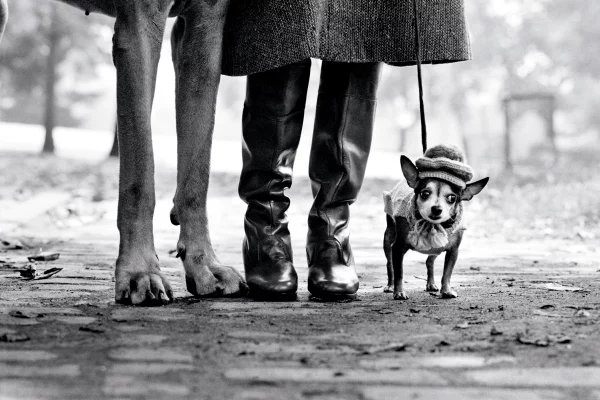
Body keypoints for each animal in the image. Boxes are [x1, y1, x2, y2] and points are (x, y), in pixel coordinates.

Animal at [384, 145, 488, 300]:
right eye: (425, 193)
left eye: (452, 198)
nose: (437, 208)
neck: (431, 225)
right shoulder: (398, 248)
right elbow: (399, 273)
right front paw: (399, 292)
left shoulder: (453, 251)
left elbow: (447, 273)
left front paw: (446, 290)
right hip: (388, 239)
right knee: (390, 264)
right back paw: (390, 286)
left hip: (436, 249)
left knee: (429, 261)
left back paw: (431, 284)